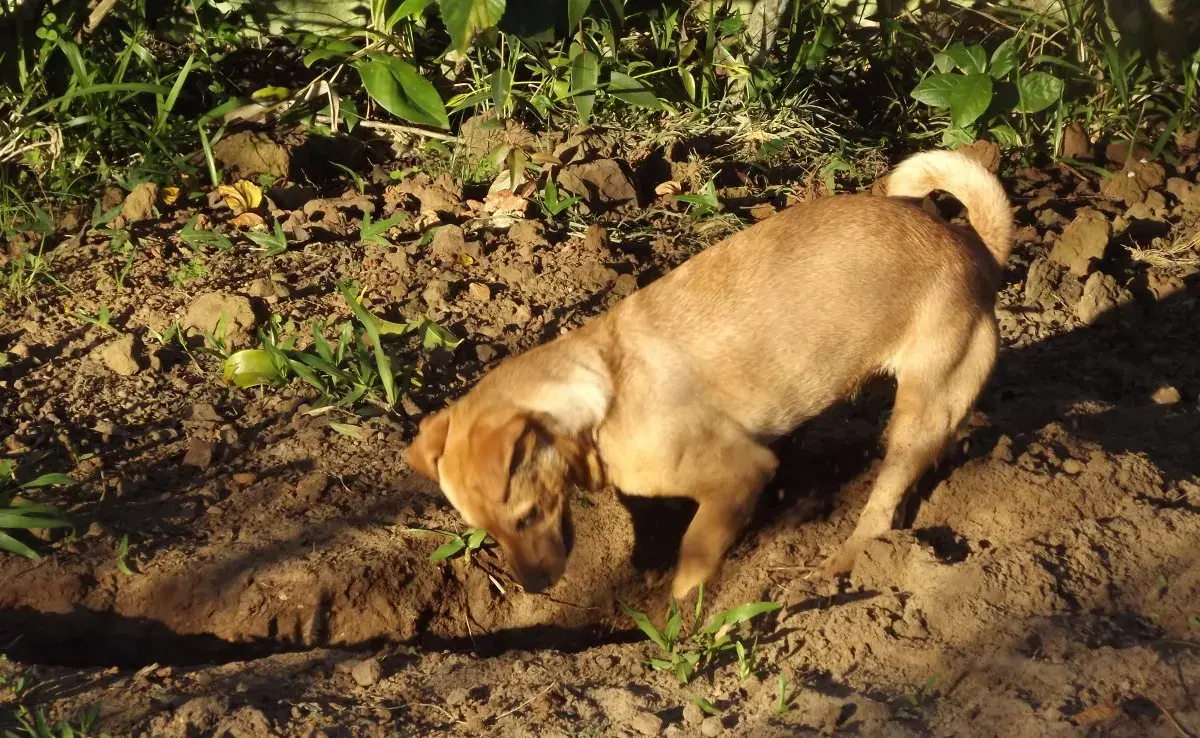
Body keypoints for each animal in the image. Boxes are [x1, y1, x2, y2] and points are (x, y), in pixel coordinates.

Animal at [405, 148, 1012, 600]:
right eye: (486, 531)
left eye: (528, 516)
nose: (533, 587)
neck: (603, 391)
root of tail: (975, 247)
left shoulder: (738, 476)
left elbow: (693, 559)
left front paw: (677, 629)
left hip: (922, 409)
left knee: (884, 501)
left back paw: (845, 562)